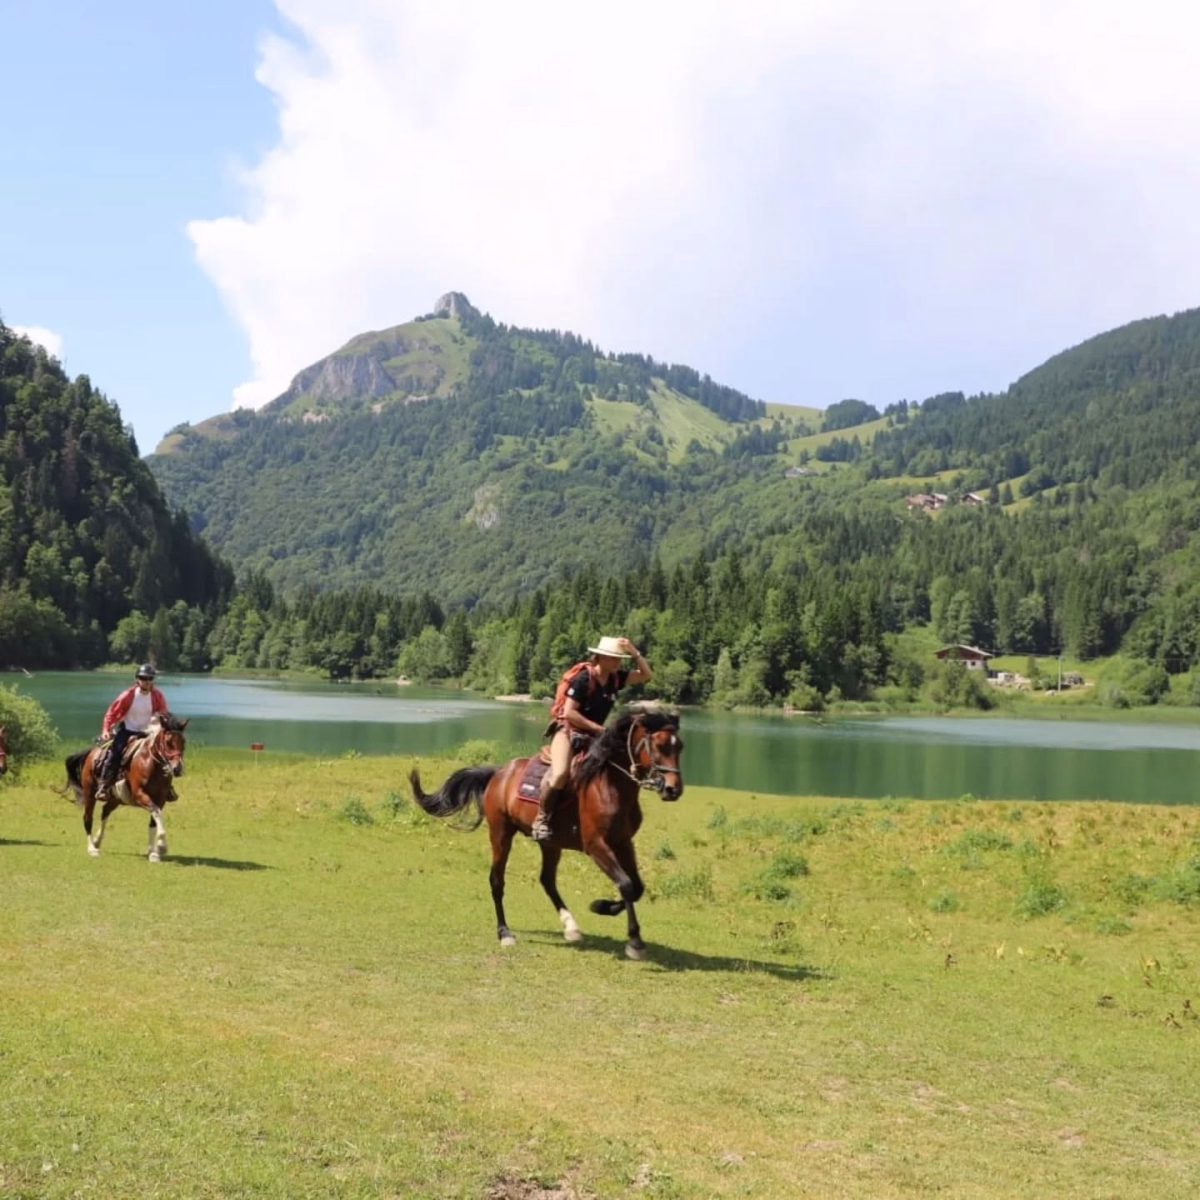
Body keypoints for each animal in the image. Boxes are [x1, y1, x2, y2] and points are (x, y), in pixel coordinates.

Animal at [61, 713, 188, 861]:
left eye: (183, 741)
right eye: (168, 742)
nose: (177, 768)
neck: (149, 763)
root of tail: (91, 752)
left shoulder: (160, 799)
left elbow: (154, 820)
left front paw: (153, 852)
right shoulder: (140, 794)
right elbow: (156, 813)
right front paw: (162, 846)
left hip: (115, 799)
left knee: (105, 811)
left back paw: (97, 841)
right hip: (89, 794)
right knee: (87, 818)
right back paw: (92, 849)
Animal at [409, 709, 684, 960]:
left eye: (679, 747)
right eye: (659, 745)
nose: (674, 790)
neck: (610, 785)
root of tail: (499, 772)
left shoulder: (623, 842)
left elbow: (636, 887)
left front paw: (601, 906)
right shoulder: (596, 845)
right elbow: (626, 884)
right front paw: (634, 941)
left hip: (551, 843)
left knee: (547, 880)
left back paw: (570, 927)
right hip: (501, 833)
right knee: (497, 881)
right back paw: (505, 933)